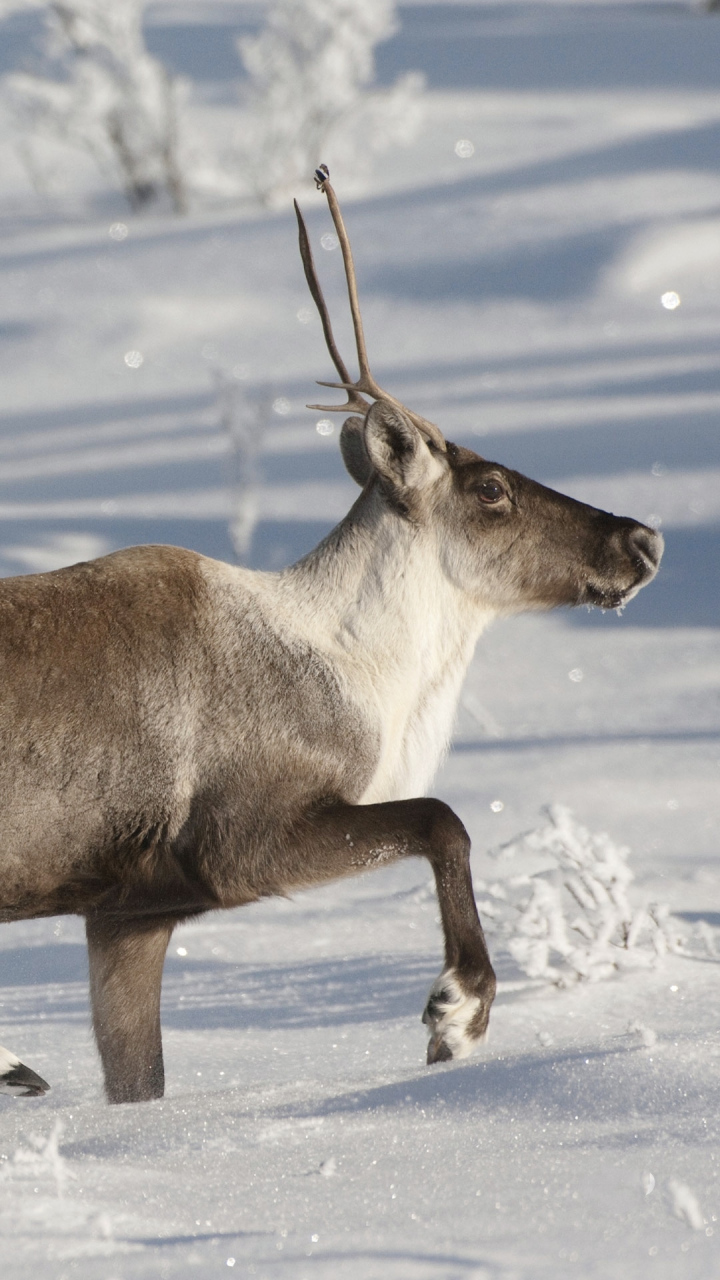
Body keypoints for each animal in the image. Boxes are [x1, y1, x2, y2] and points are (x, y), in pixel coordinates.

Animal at [0, 167, 662, 1103]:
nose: (642, 541)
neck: (361, 673)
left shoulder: (128, 911)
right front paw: (456, 1014)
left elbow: (141, 1080)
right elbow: (443, 818)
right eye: (491, 488)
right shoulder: (241, 843)